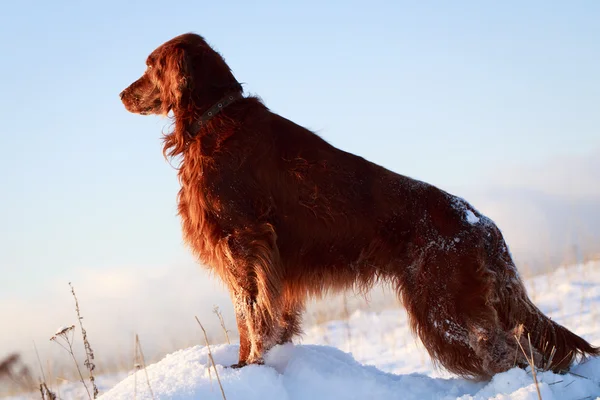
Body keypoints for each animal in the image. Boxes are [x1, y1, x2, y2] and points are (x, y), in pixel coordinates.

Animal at [119, 32, 596, 380]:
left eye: (149, 65)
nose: (121, 94)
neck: (213, 119)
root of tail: (483, 225)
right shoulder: (267, 260)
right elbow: (271, 318)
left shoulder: (243, 243)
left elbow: (249, 317)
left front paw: (245, 367)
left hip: (443, 307)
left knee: (507, 353)